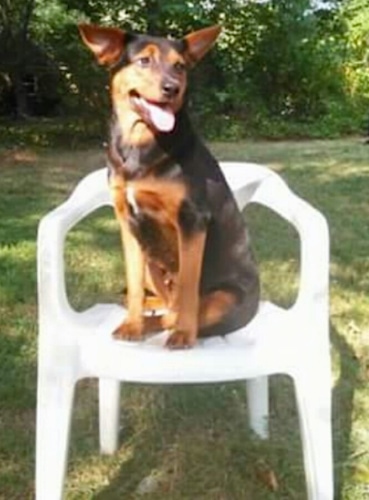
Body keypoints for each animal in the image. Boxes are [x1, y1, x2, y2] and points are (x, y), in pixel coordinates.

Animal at [79, 22, 260, 348]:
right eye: (144, 61)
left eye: (180, 66)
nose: (172, 88)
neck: (140, 145)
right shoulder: (128, 222)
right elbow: (135, 284)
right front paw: (132, 325)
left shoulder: (192, 219)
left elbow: (187, 288)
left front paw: (183, 334)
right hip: (151, 261)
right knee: (162, 300)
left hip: (226, 297)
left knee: (178, 310)